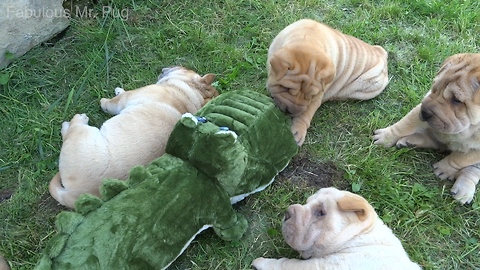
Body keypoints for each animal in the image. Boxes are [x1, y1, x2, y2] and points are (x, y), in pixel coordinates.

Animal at [48, 67, 218, 209]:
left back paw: (74, 121)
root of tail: (72, 196)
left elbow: (111, 102)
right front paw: (118, 89)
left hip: (83, 135)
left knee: (72, 129)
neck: (187, 93)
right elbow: (121, 92)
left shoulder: (125, 99)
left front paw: (105, 101)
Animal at [251, 188, 420, 270]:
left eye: (321, 212)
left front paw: (261, 262)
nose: (287, 213)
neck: (356, 238)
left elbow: (287, 264)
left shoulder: (323, 266)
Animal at [266, 18, 390, 146]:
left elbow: (306, 113)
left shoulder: (317, 97)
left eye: (311, 95)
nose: (292, 112)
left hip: (370, 86)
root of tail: (382, 53)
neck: (309, 39)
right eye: (285, 88)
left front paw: (298, 131)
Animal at [376, 53, 480, 205]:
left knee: (471, 170)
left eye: (456, 100)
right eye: (435, 88)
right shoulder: (420, 107)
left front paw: (444, 168)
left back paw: (463, 191)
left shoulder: (477, 151)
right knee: (434, 141)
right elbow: (404, 125)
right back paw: (409, 142)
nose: (425, 112)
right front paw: (385, 136)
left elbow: (459, 159)